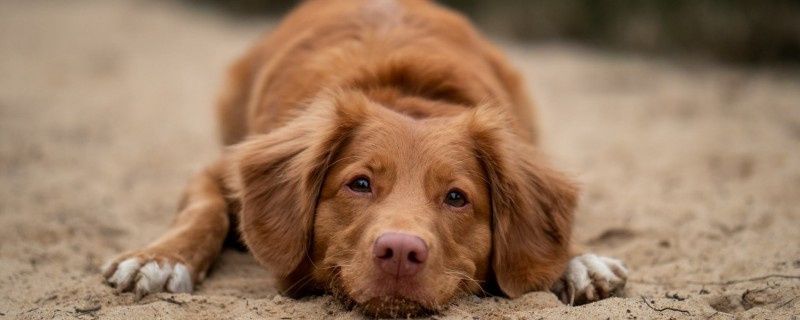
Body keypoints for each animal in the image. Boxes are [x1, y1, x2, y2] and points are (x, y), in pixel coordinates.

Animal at [100, 0, 628, 316]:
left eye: (457, 197)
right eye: (359, 184)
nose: (400, 252)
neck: (405, 95)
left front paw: (577, 259)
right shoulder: (221, 168)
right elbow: (203, 210)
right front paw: (160, 258)